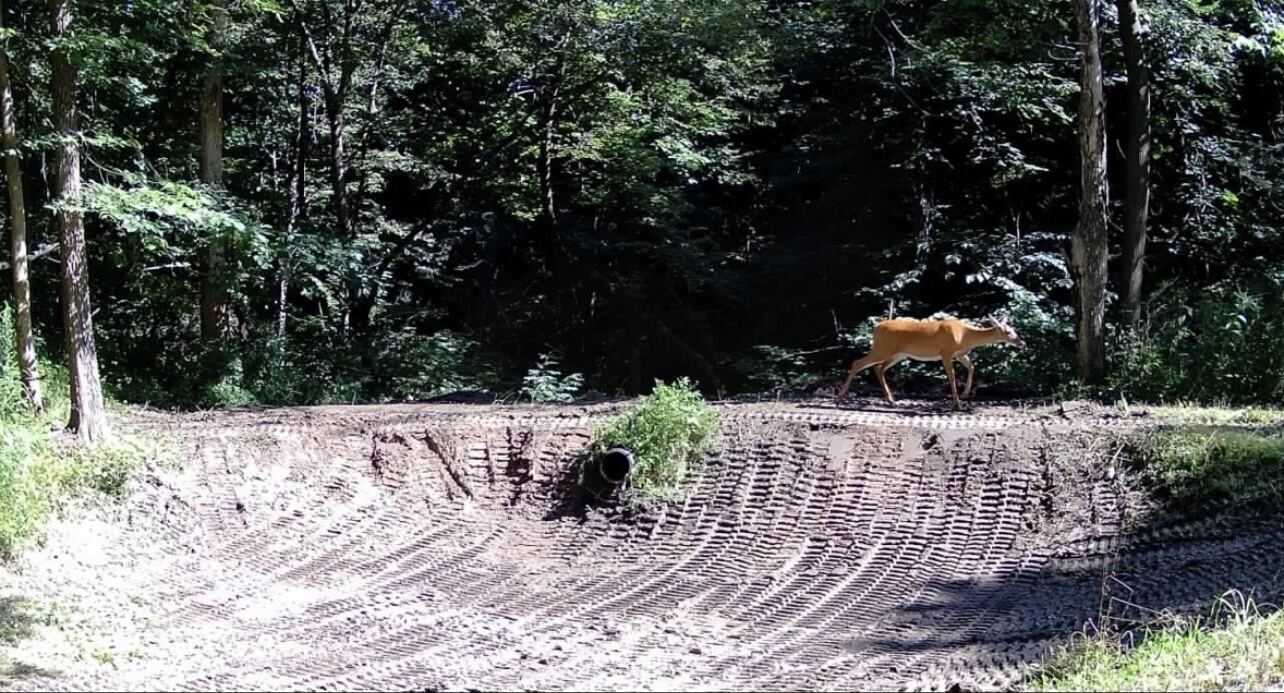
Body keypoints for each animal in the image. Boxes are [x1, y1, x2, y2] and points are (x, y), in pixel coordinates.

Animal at [835, 314, 1026, 409]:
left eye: (1014, 329)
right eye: (1007, 332)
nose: (1021, 342)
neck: (965, 336)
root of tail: (876, 327)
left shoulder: (960, 354)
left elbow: (972, 367)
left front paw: (964, 395)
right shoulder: (946, 352)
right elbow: (952, 376)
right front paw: (957, 404)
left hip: (899, 354)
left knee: (878, 368)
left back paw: (891, 400)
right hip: (883, 348)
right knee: (858, 363)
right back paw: (840, 397)